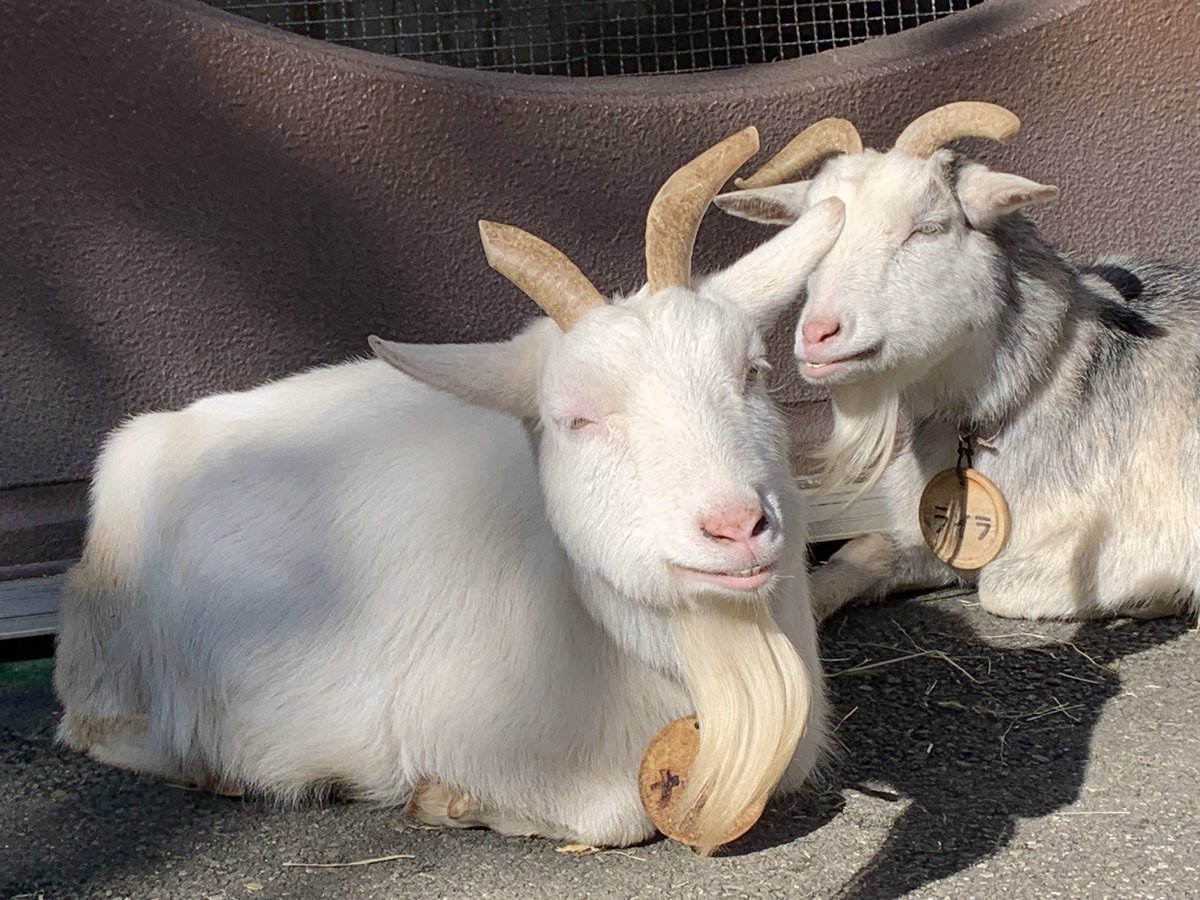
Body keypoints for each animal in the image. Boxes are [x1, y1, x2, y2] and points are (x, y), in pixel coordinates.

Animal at [54, 127, 844, 854]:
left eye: (752, 372)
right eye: (576, 419)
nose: (737, 526)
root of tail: (145, 440)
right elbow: (614, 813)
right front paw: (445, 801)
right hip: (116, 663)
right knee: (91, 726)